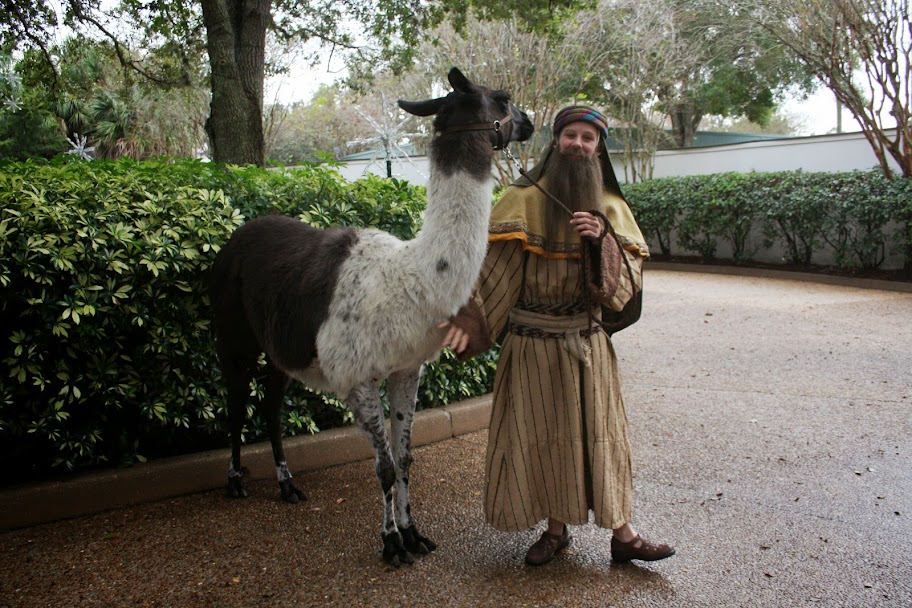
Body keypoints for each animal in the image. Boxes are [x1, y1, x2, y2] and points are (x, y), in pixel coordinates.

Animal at [209, 67, 534, 566]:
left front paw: (414, 533)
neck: (412, 276)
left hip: (282, 348)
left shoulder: (406, 367)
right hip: (233, 337)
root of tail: (237, 232)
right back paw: (234, 482)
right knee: (235, 406)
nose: (531, 123)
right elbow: (382, 467)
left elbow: (405, 460)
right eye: (503, 97)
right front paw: (391, 543)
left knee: (270, 408)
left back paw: (287, 485)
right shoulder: (357, 375)